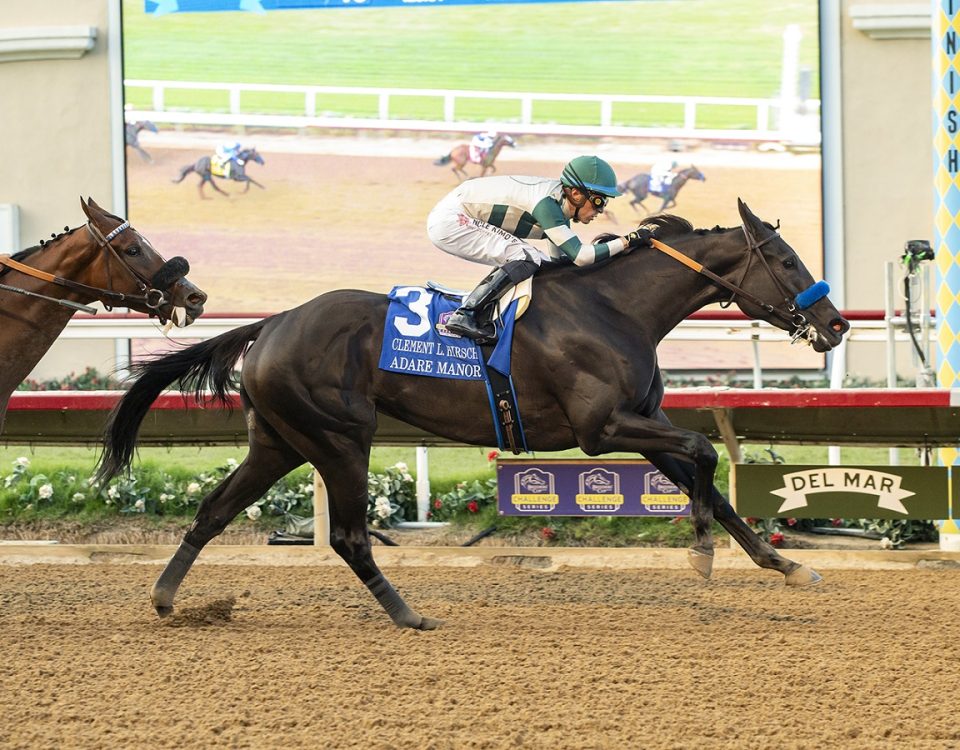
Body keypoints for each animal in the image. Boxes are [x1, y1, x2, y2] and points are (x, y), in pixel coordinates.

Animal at [95, 198, 848, 628]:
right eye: (786, 259)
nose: (835, 323)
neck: (613, 307)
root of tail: (271, 322)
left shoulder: (642, 424)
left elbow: (709, 475)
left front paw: (785, 566)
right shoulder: (600, 429)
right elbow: (704, 453)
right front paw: (700, 554)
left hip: (279, 442)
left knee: (213, 511)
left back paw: (166, 599)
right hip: (340, 438)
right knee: (349, 535)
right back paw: (409, 616)